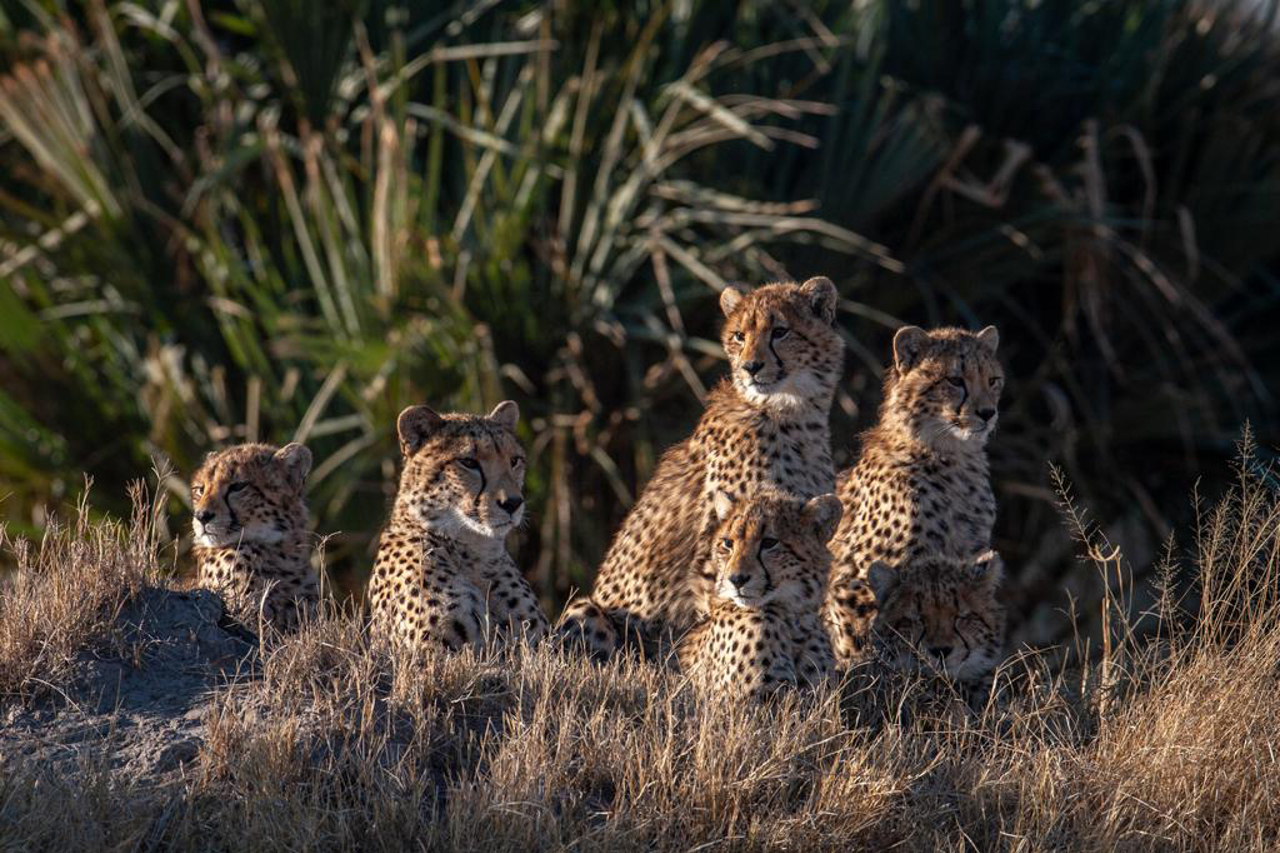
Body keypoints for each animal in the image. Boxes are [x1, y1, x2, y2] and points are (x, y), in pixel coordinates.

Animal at [559, 276, 844, 658]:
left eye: (780, 331)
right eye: (739, 335)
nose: (750, 367)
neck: (792, 413)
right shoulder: (718, 545)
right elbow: (727, 603)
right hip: (588, 609)